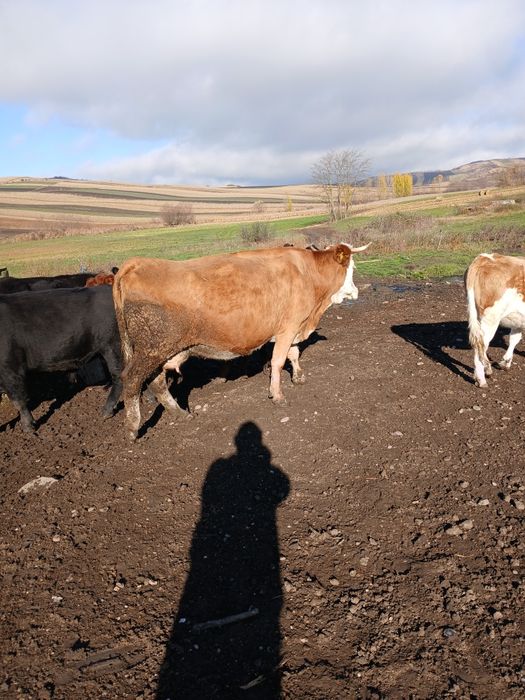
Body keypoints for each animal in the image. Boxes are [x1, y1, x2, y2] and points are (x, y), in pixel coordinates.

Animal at [0, 285, 122, 433]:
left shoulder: (10, 368)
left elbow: (19, 401)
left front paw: (28, 427)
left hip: (113, 346)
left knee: (119, 376)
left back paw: (106, 411)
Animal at [113, 243, 369, 440]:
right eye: (352, 267)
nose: (356, 291)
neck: (307, 273)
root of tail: (135, 263)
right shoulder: (288, 327)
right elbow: (278, 361)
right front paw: (277, 395)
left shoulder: (295, 326)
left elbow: (293, 354)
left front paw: (298, 376)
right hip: (151, 350)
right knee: (133, 380)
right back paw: (132, 427)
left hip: (160, 352)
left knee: (156, 382)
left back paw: (179, 413)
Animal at [465, 252, 525, 387]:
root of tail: (483, 258)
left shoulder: (518, 320)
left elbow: (514, 338)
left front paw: (506, 362)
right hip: (491, 318)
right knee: (481, 344)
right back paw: (482, 379)